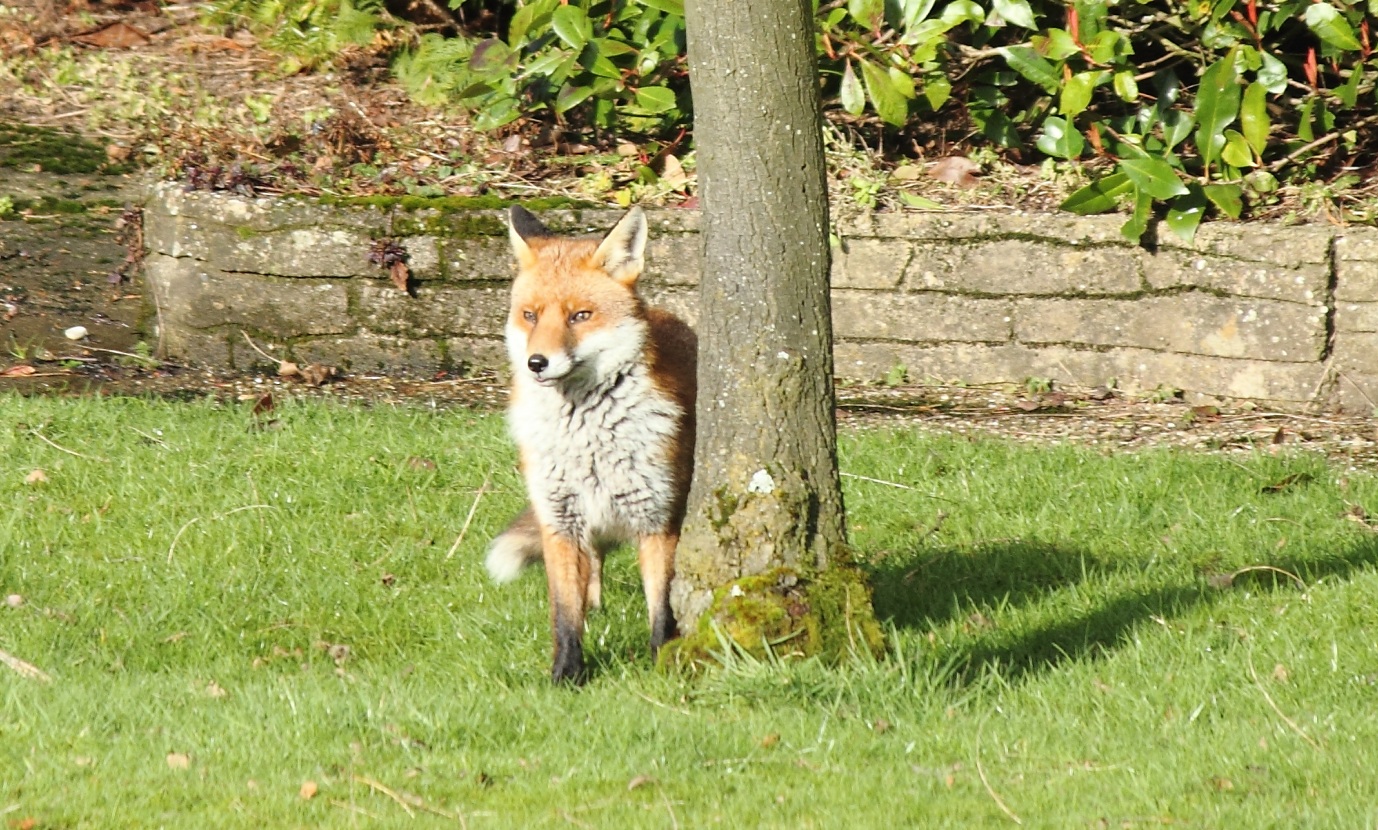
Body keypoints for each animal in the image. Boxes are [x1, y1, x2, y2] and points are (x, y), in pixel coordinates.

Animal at [487, 204, 700, 681]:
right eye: (530, 315)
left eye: (579, 316)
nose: (536, 363)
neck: (586, 437)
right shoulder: (559, 519)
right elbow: (565, 613)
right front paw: (567, 674)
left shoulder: (658, 518)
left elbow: (661, 608)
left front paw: (660, 663)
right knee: (595, 561)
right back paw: (596, 603)